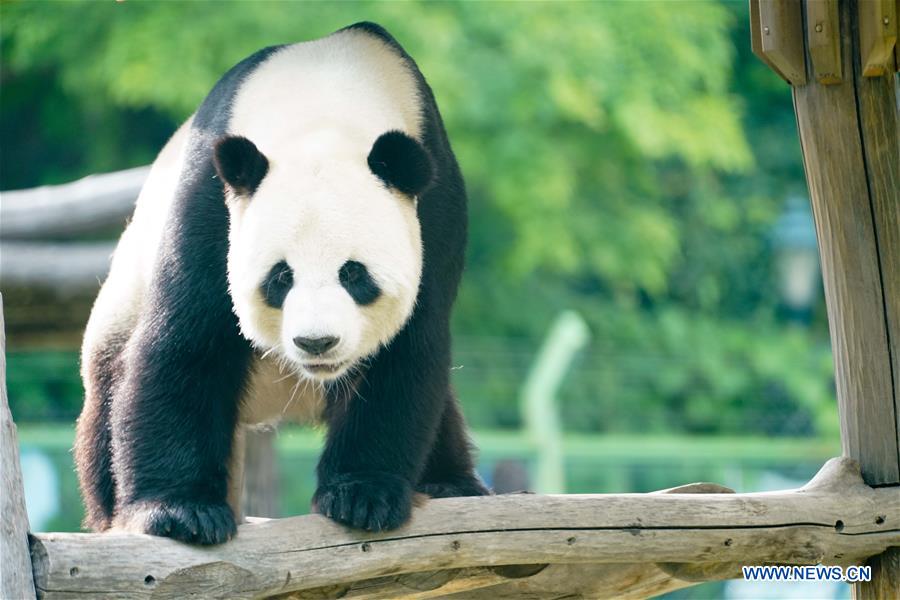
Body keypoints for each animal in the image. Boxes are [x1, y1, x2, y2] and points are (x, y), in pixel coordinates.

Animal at [74, 22, 489, 545]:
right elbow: (187, 338)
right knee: (109, 389)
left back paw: (450, 483)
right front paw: (179, 511)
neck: (328, 100)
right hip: (123, 294)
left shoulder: (434, 209)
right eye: (281, 277)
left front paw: (362, 496)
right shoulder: (212, 199)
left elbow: (408, 348)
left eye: (354, 274)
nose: (317, 343)